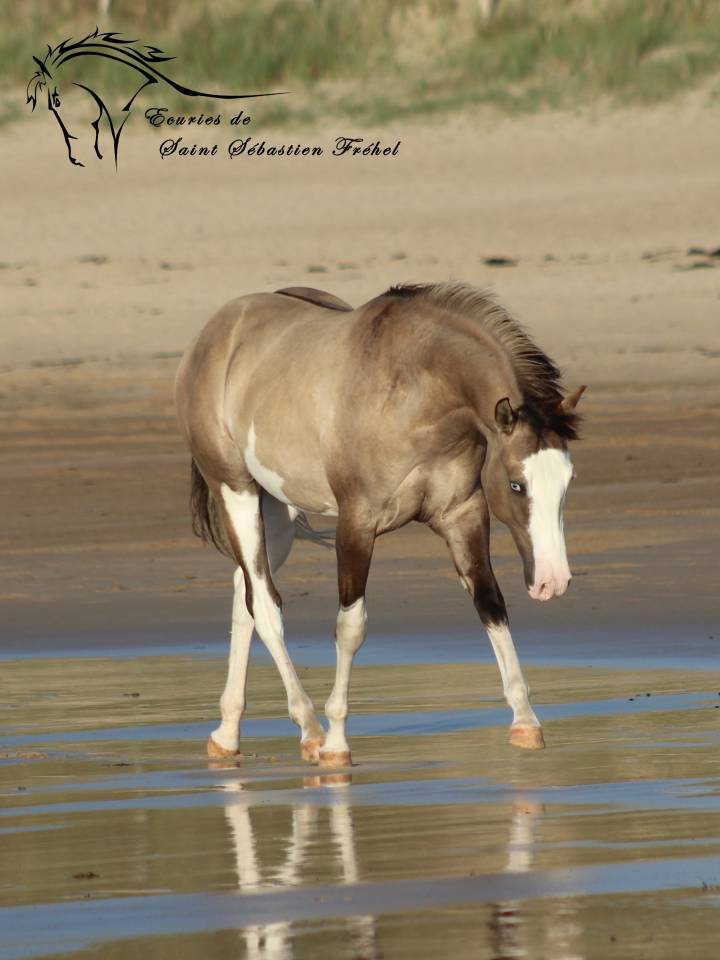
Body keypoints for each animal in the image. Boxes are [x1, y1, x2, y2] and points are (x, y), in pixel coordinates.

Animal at [175, 282, 585, 767]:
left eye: (569, 480)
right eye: (517, 484)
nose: (553, 581)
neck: (416, 394)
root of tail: (218, 330)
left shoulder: (462, 514)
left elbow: (490, 604)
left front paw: (525, 721)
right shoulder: (357, 522)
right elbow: (351, 627)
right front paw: (336, 744)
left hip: (275, 509)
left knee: (246, 595)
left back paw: (227, 733)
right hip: (235, 491)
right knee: (266, 606)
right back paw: (310, 730)